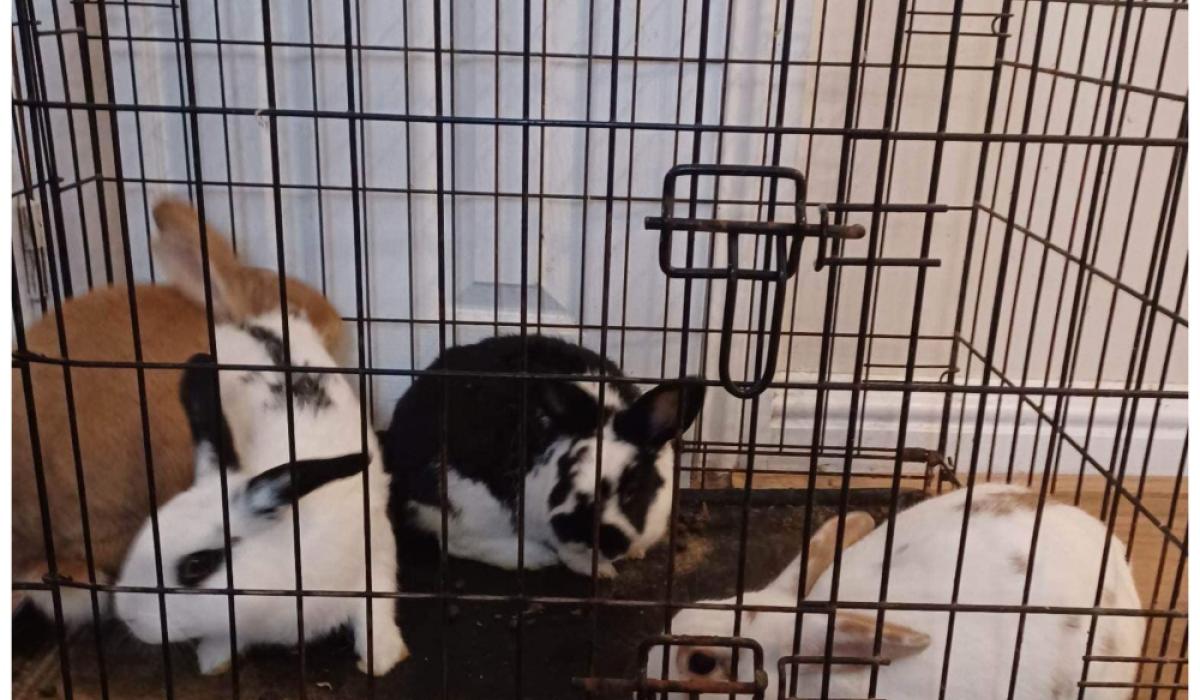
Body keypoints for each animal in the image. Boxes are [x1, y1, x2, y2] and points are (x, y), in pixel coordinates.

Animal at [113, 312, 408, 676]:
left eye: (197, 565)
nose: (127, 615)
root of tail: (257, 323)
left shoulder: (376, 553)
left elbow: (375, 606)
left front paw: (380, 657)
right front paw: (214, 659)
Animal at [383, 334, 706, 578]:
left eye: (632, 490)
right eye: (567, 474)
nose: (581, 531)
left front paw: (634, 551)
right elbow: (571, 554)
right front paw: (599, 570)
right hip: (467, 502)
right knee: (453, 542)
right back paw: (534, 557)